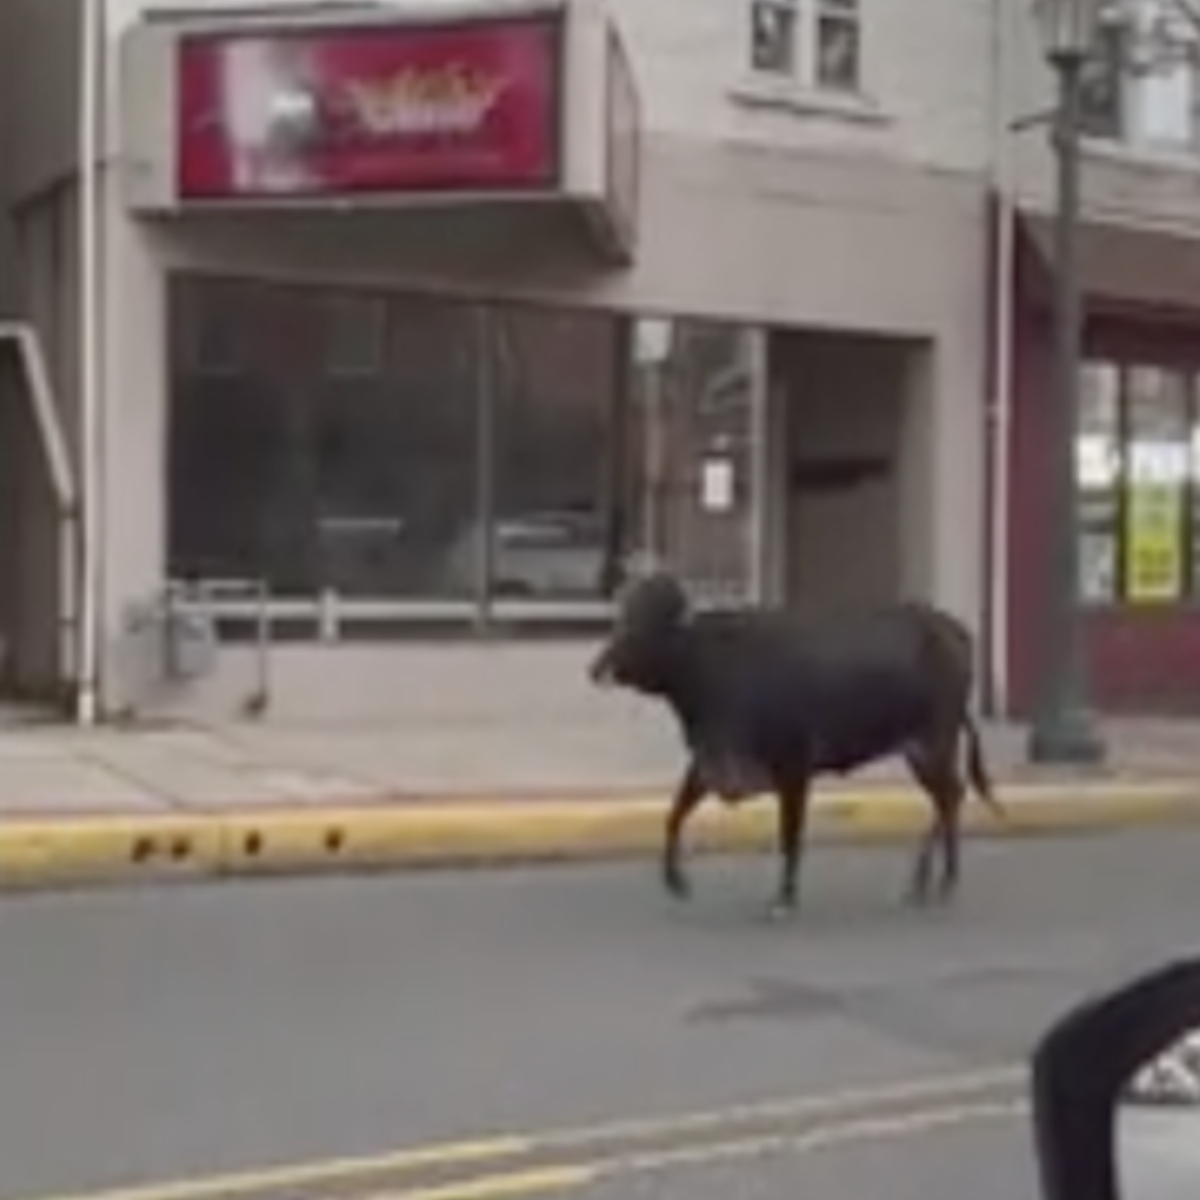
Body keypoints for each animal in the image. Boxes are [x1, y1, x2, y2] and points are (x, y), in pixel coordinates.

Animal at [590, 576, 1003, 912]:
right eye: (622, 617)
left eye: (646, 623)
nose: (597, 669)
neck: (709, 667)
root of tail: (952, 629)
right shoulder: (708, 763)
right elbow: (674, 813)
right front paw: (674, 881)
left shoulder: (793, 768)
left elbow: (791, 834)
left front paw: (784, 898)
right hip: (922, 753)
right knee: (949, 797)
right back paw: (924, 883)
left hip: (933, 744)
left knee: (950, 797)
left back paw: (941, 882)